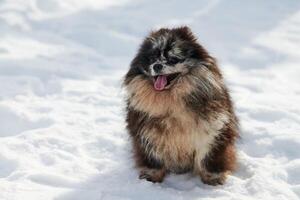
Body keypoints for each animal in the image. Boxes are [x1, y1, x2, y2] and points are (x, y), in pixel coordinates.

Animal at [123, 26, 238, 186]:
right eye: (152, 59)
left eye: (173, 59)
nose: (157, 65)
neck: (170, 100)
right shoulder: (148, 133)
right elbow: (154, 159)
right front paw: (151, 177)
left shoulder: (213, 131)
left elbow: (208, 158)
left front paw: (213, 179)